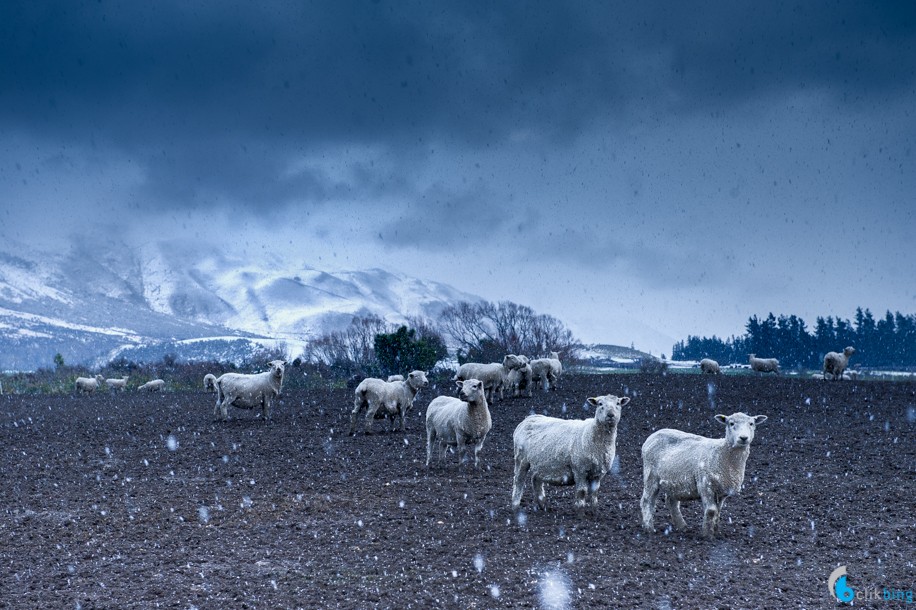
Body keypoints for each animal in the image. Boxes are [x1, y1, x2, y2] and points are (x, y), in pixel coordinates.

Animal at [640, 410, 768, 536]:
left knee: (671, 501)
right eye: (731, 423)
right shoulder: (705, 484)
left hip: (674, 480)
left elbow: (718, 511)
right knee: (647, 500)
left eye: (751, 423)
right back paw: (649, 528)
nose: (743, 438)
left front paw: (716, 531)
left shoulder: (722, 490)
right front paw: (707, 535)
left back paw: (682, 527)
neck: (723, 454)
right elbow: (711, 510)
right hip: (650, 475)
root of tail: (654, 434)